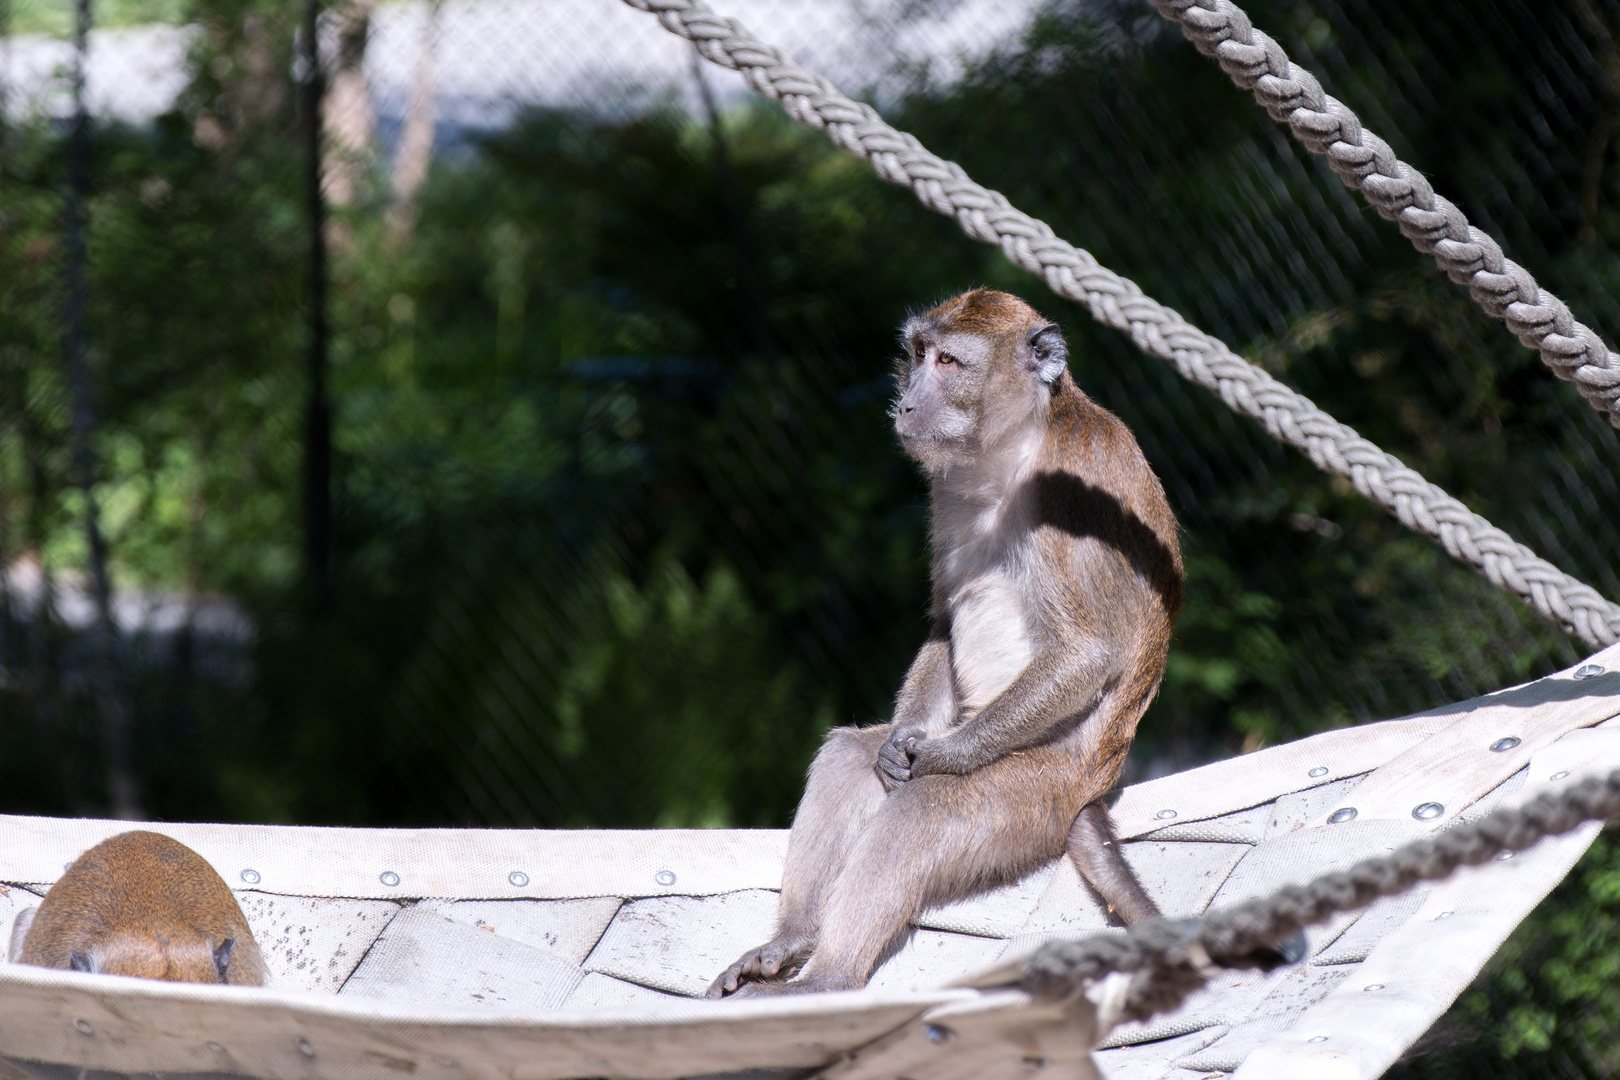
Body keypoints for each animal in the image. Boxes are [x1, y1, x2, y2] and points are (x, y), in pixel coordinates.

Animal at [709, 286, 1179, 997]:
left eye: (951, 363)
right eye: (917, 353)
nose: (906, 402)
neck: (1014, 448)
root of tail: (1097, 785)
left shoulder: (1065, 495)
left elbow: (1085, 653)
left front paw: (939, 755)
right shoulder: (947, 483)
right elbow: (940, 621)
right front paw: (902, 741)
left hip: (1037, 792)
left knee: (922, 810)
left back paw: (830, 978)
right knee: (849, 755)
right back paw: (791, 942)